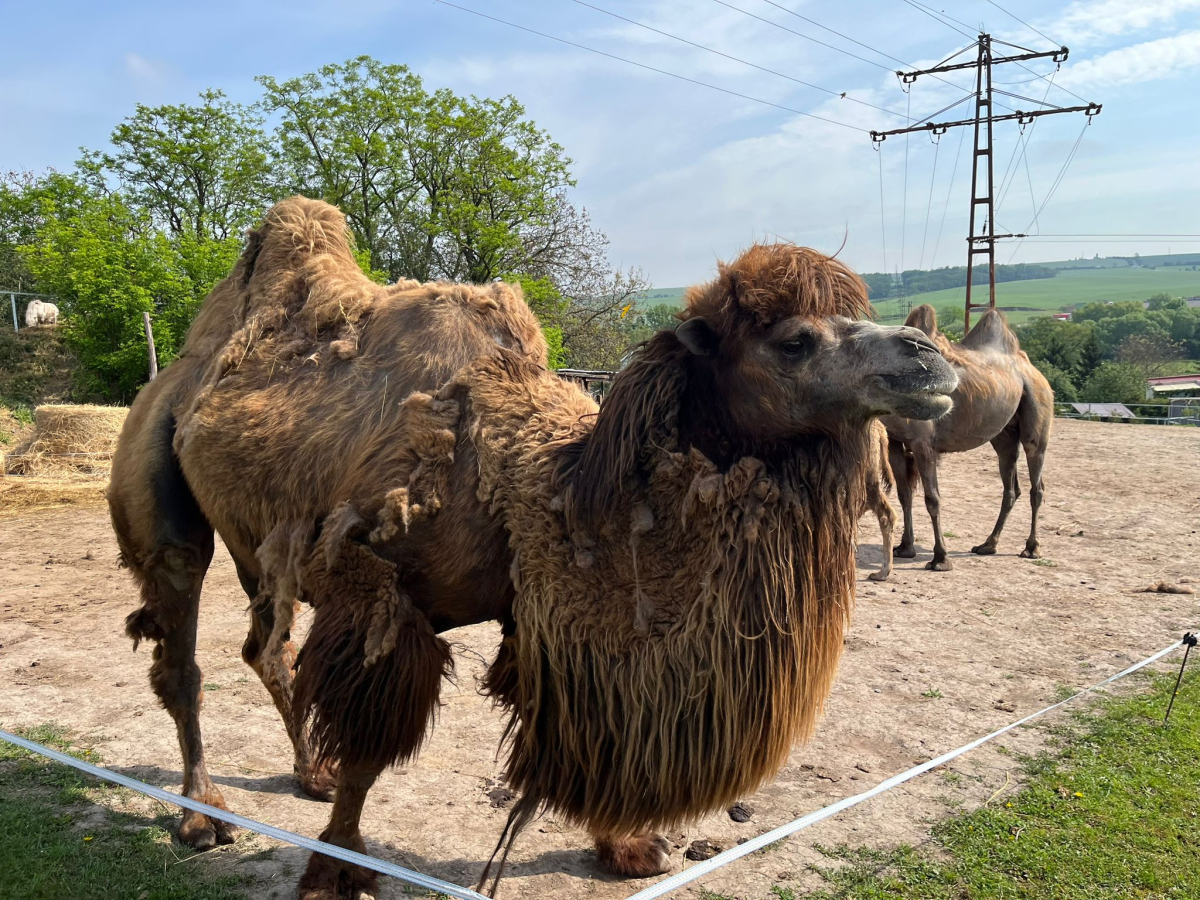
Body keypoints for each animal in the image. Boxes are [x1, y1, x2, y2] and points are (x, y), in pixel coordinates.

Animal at [112, 199, 955, 900]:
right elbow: (372, 748)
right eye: (794, 341)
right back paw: (201, 814)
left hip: (264, 548)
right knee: (184, 656)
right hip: (162, 486)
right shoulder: (378, 592)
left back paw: (306, 769)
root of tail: (185, 369)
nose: (928, 357)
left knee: (264, 645)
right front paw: (335, 873)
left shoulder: (544, 608)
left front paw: (627, 849)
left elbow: (586, 734)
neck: (539, 483)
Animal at [878, 303, 1056, 571]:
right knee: (1011, 486)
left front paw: (940, 558)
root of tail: (1033, 370)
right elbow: (904, 494)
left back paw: (1031, 548)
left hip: (1038, 408)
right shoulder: (896, 441)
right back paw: (988, 545)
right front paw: (905, 548)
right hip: (1004, 433)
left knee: (1037, 481)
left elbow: (932, 499)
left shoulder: (923, 442)